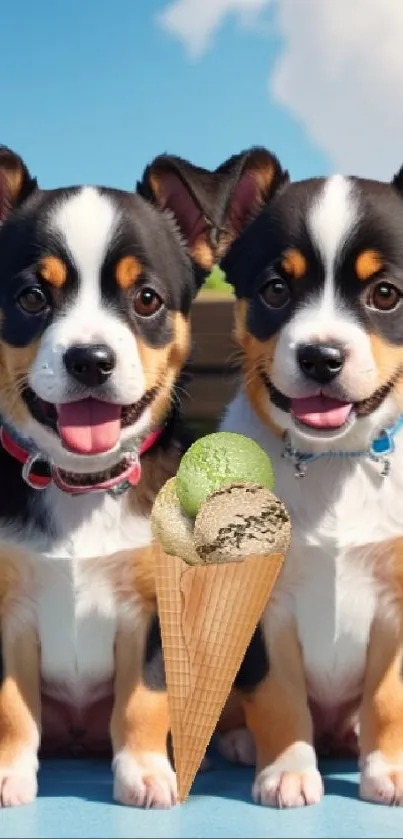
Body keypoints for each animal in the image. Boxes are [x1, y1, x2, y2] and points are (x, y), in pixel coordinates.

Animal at [0, 144, 240, 808]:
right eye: (31, 299)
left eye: (147, 299)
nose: (90, 359)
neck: (80, 484)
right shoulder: (6, 612)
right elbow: (11, 707)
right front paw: (9, 773)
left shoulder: (153, 613)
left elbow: (144, 700)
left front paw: (144, 771)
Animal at [216, 148, 403, 812]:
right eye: (276, 289)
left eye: (385, 293)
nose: (321, 357)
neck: (332, 462)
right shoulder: (260, 607)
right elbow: (278, 697)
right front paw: (288, 770)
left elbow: (388, 698)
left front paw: (389, 769)